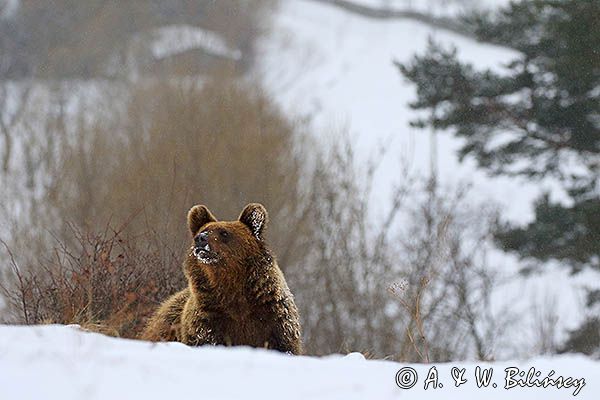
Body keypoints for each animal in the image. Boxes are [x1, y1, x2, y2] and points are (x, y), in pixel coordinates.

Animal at [139, 203, 302, 354]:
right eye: (203, 230)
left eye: (224, 233)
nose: (200, 239)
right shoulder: (208, 320)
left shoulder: (273, 319)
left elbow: (283, 345)